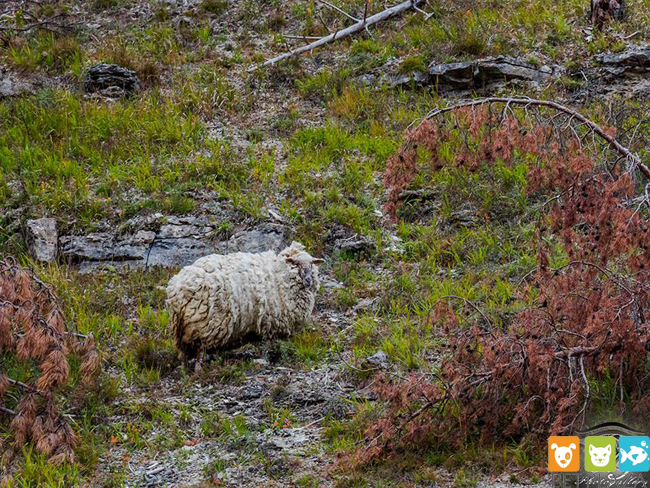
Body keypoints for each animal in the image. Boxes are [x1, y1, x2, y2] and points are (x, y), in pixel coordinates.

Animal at [165, 242, 322, 368]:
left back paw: (185, 370)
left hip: (185, 329)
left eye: (312, 263)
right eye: (296, 263)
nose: (308, 280)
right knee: (199, 350)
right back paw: (198, 370)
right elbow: (269, 345)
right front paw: (271, 359)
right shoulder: (270, 322)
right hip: (203, 325)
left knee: (186, 352)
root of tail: (176, 288)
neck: (281, 276)